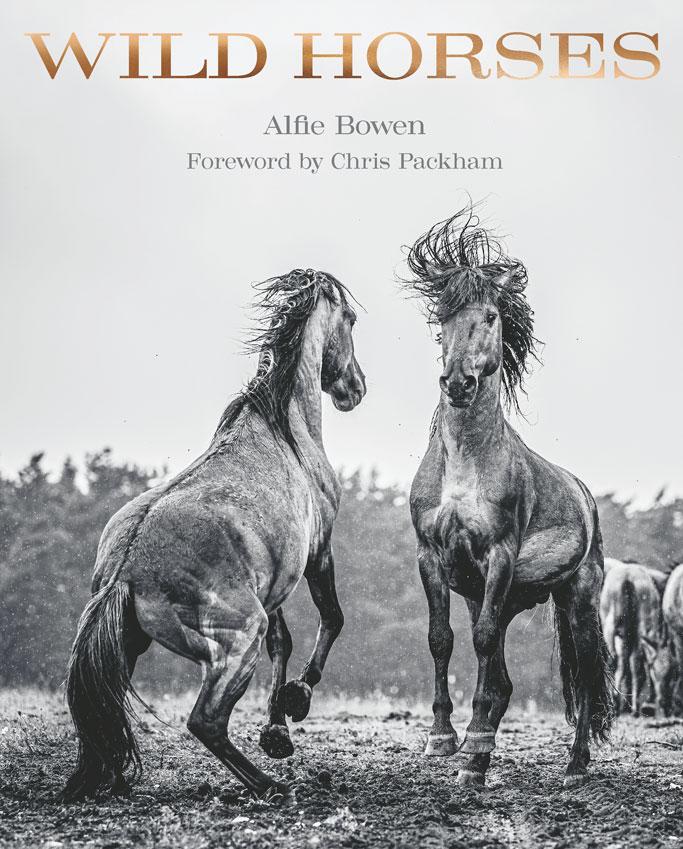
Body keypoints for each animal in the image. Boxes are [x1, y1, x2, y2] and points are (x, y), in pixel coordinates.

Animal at [63, 268, 366, 802]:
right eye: (349, 318)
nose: (357, 387)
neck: (285, 428)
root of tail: (125, 569)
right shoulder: (318, 551)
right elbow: (332, 618)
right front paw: (298, 699)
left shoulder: (274, 581)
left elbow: (284, 642)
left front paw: (277, 731)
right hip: (237, 639)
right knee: (205, 722)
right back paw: (270, 787)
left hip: (129, 645)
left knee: (105, 712)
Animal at [406, 207, 613, 789]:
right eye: (442, 319)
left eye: (493, 316)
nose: (458, 383)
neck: (464, 464)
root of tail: (585, 497)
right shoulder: (432, 557)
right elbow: (441, 639)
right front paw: (444, 740)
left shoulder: (498, 554)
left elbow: (478, 644)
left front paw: (474, 748)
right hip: (500, 595)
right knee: (502, 675)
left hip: (576, 599)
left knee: (584, 673)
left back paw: (573, 765)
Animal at [600, 559, 674, 717]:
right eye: (654, 670)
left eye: (671, 673)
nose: (664, 703)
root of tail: (628, 579)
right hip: (639, 623)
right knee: (629, 662)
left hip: (612, 624)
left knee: (616, 660)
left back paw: (620, 702)